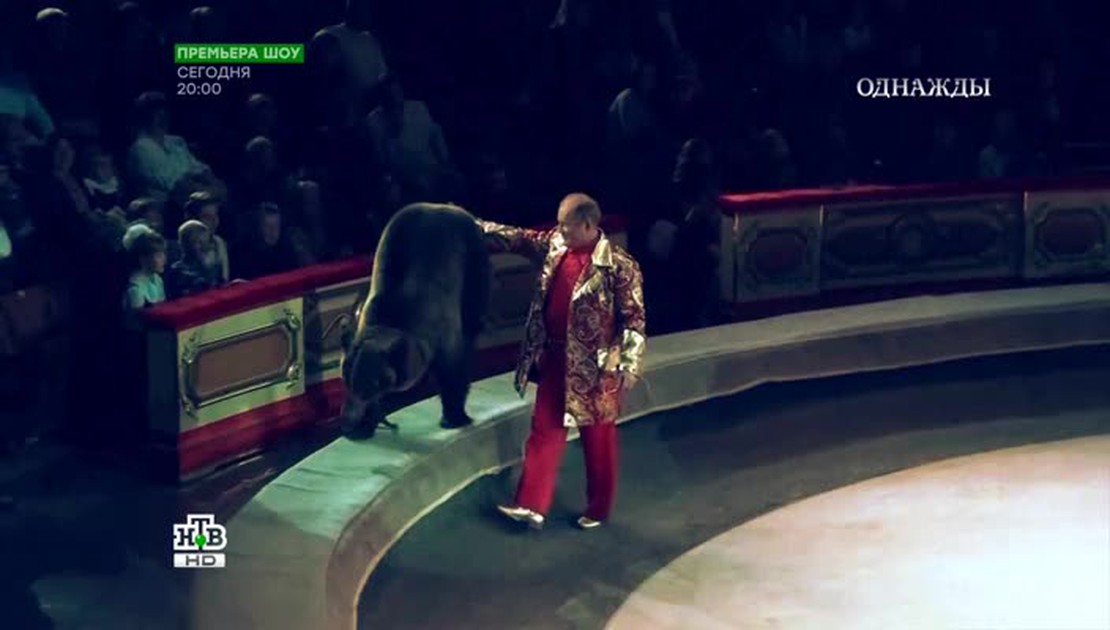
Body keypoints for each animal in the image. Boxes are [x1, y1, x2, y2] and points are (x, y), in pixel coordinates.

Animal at [339, 202, 492, 438]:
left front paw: (454, 417)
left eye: (372, 384)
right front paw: (365, 424)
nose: (348, 423)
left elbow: (454, 373)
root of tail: (447, 205)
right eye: (346, 378)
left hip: (473, 259)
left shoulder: (444, 330)